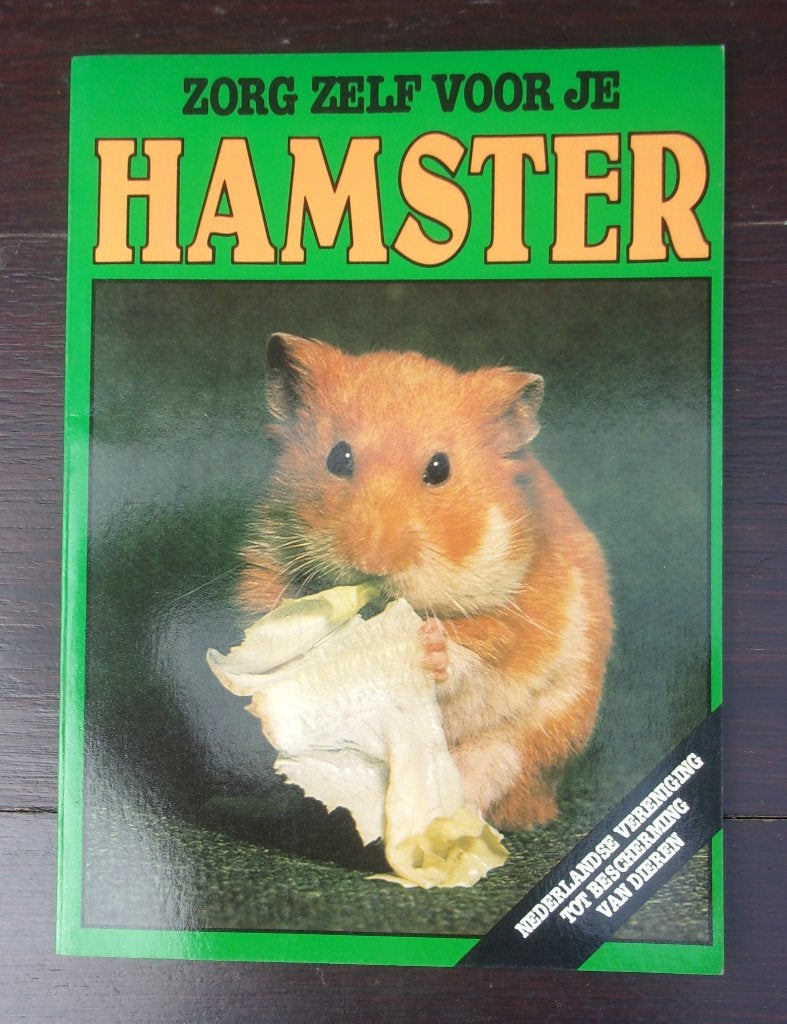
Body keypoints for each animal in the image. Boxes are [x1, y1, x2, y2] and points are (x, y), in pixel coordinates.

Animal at [239, 332, 613, 830]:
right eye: (339, 457)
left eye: (439, 469)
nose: (372, 562)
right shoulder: (265, 572)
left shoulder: (513, 617)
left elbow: (471, 660)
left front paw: (427, 646)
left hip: (532, 741)